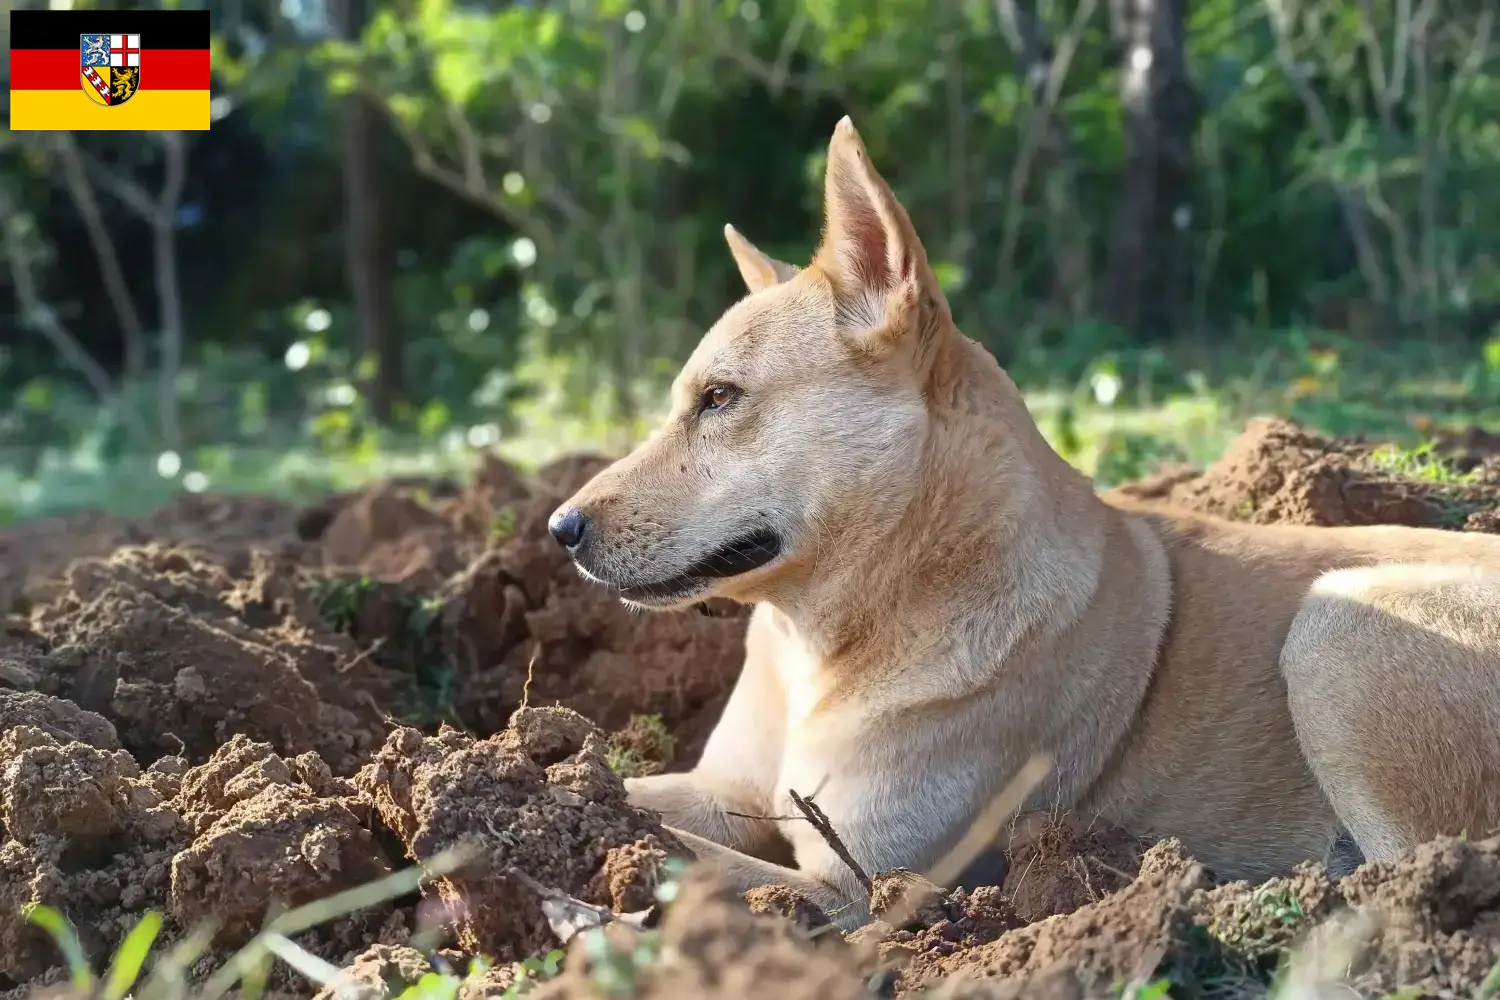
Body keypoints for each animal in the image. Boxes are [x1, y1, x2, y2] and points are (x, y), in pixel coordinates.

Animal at [549, 115, 1500, 929]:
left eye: (720, 399)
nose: (559, 530)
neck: (838, 630)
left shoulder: (856, 892)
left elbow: (678, 853)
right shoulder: (726, 794)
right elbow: (617, 792)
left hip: (1337, 628)